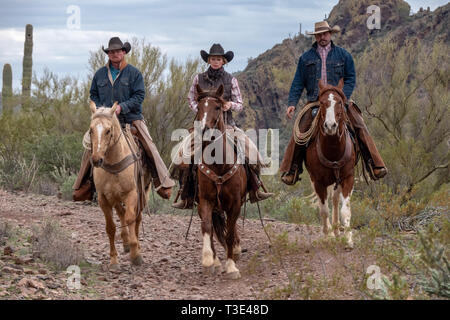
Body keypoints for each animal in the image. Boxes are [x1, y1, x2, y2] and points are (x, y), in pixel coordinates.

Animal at [89, 101, 150, 268]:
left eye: (108, 131)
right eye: (91, 130)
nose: (96, 160)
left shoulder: (132, 194)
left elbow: (130, 219)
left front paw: (136, 255)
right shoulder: (103, 198)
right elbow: (111, 227)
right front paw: (114, 260)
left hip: (143, 195)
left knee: (137, 217)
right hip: (115, 198)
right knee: (121, 213)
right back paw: (126, 242)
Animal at [195, 84, 248, 278]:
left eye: (217, 107)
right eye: (199, 107)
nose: (204, 130)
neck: (219, 164)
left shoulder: (235, 204)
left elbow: (230, 233)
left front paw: (232, 266)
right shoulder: (205, 200)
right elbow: (207, 227)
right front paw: (208, 260)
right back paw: (216, 261)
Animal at [306, 79, 358, 249]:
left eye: (340, 102)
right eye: (322, 102)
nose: (330, 126)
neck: (333, 151)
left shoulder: (348, 178)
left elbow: (345, 210)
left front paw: (348, 239)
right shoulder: (318, 182)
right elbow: (324, 210)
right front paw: (327, 236)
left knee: (335, 200)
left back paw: (336, 230)